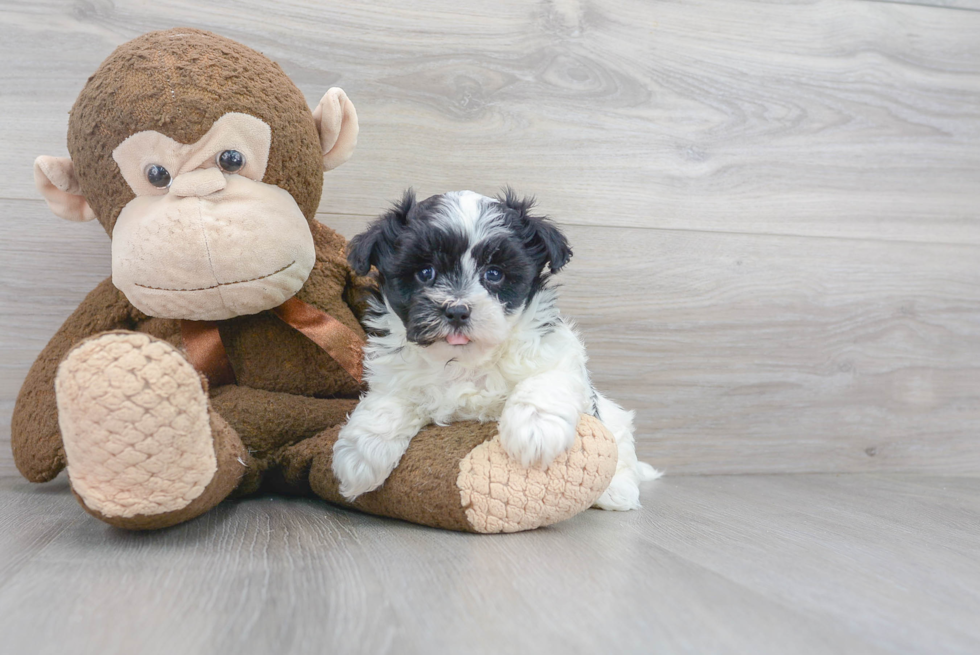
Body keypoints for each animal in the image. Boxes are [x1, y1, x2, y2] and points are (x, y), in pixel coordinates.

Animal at [334, 190, 664, 512]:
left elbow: (545, 381)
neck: (465, 362)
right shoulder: (396, 374)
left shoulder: (558, 353)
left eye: (494, 274)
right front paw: (360, 457)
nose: (457, 310)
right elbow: (387, 402)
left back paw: (617, 492)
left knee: (621, 452)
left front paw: (535, 430)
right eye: (426, 272)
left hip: (615, 422)